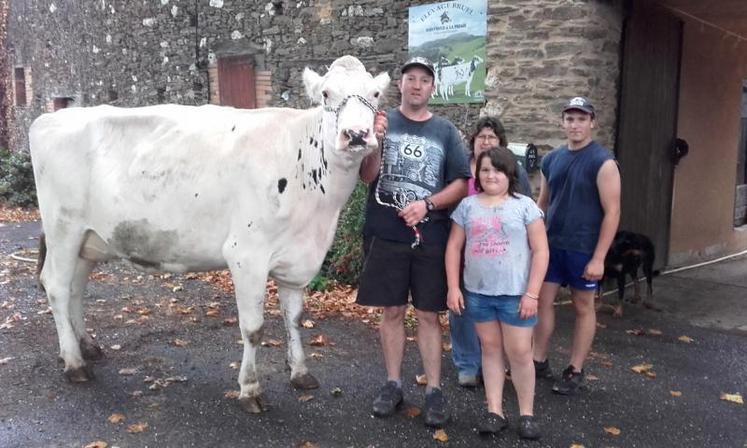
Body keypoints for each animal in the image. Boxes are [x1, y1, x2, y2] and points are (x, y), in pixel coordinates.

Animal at [29, 55, 392, 412]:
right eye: (326, 94)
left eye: (375, 94)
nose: (356, 134)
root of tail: (50, 117)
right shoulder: (246, 254)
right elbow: (253, 328)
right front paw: (250, 388)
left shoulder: (298, 256)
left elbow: (294, 318)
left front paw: (300, 372)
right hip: (63, 228)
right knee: (57, 287)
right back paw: (74, 363)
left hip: (88, 238)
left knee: (75, 288)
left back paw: (86, 346)